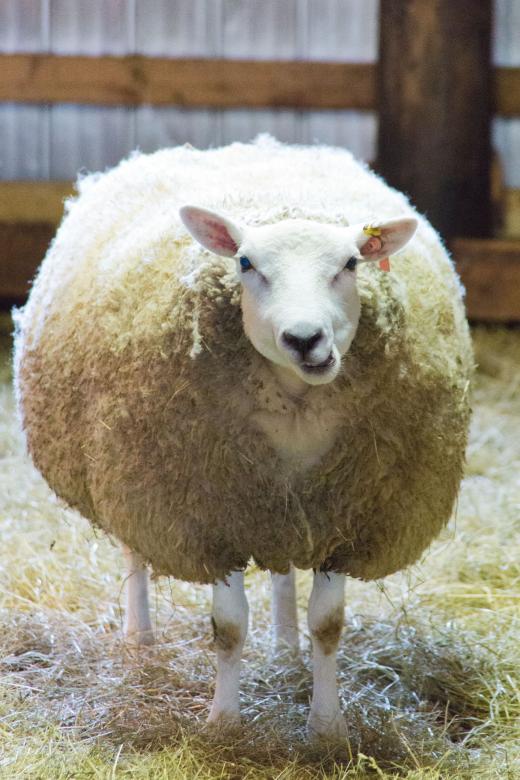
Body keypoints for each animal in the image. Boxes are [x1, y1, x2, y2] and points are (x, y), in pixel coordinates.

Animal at [14, 135, 473, 739]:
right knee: (136, 553)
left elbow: (328, 624)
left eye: (351, 263)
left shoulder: (342, 518)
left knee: (282, 573)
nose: (305, 339)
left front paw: (327, 727)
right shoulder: (209, 518)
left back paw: (285, 648)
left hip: (280, 508)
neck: (296, 408)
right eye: (246, 263)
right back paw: (140, 639)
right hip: (134, 478)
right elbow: (228, 628)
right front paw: (223, 723)